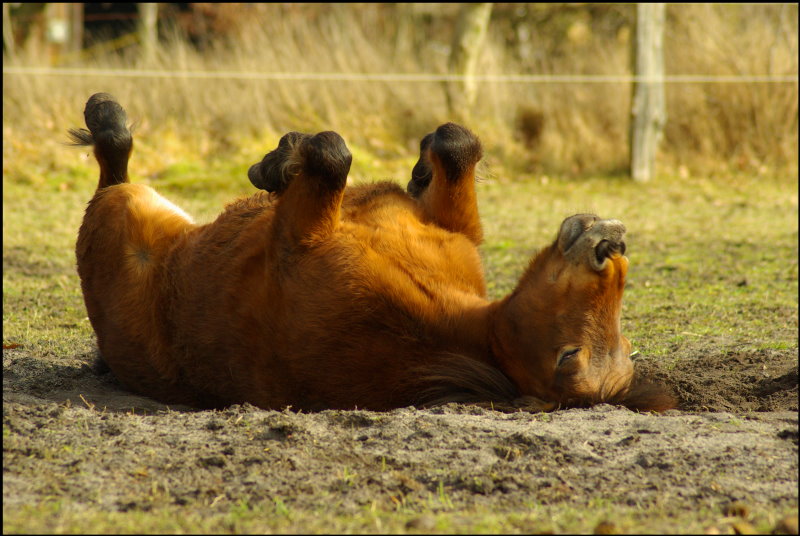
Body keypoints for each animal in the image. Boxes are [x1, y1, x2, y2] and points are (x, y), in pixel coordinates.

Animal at [73, 93, 676, 410]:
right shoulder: (455, 230)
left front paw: (281, 160)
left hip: (120, 217)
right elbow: (457, 142)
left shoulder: (298, 238)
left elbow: (331, 156)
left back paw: (106, 116)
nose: (610, 246)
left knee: (113, 170)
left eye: (569, 356)